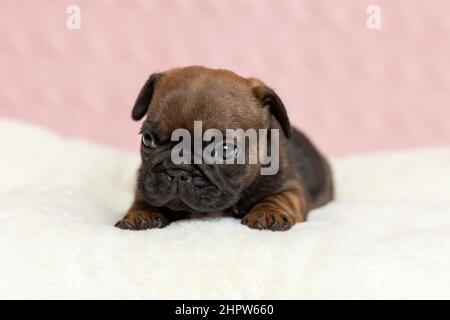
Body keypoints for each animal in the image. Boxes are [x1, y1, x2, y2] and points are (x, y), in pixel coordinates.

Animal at [115, 66, 334, 231]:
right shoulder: (145, 180)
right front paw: (140, 212)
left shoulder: (290, 186)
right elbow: (144, 195)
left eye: (225, 150)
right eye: (147, 139)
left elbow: (282, 198)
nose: (178, 170)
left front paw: (267, 212)